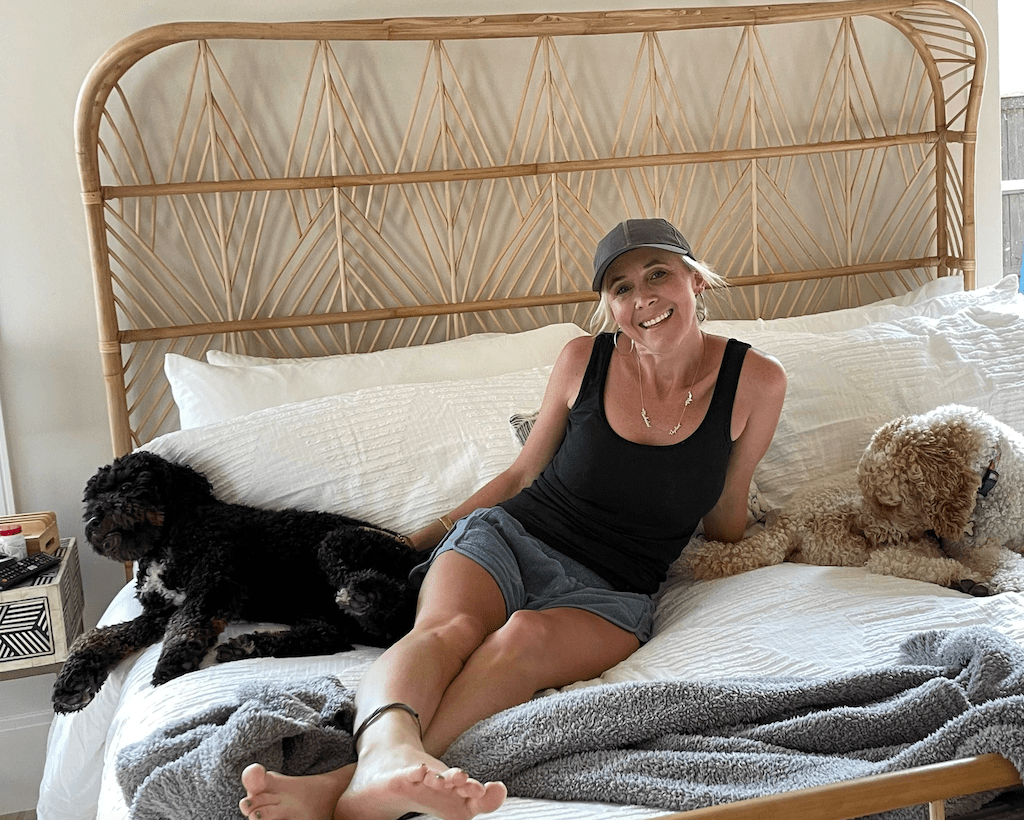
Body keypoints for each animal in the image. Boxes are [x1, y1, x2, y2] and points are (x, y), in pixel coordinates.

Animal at [50, 450, 419, 712]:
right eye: (91, 500)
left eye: (125, 487)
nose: (93, 522)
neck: (170, 536)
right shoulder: (156, 614)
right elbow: (99, 637)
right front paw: (72, 682)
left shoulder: (216, 578)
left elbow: (188, 619)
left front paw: (175, 657)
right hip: (314, 610)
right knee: (332, 636)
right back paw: (249, 645)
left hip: (338, 543)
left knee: (390, 604)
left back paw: (364, 596)